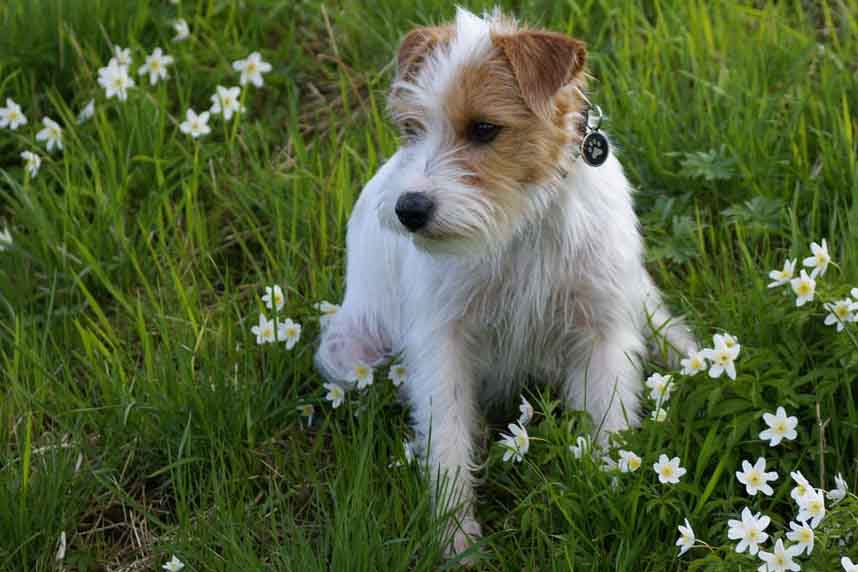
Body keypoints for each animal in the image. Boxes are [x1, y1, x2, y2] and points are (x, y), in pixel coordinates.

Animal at [314, 6, 696, 560]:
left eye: (484, 129)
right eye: (411, 128)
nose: (409, 210)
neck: (522, 223)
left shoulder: (603, 331)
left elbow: (609, 426)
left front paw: (609, 498)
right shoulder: (444, 343)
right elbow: (447, 441)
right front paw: (457, 540)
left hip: (636, 297)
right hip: (346, 352)